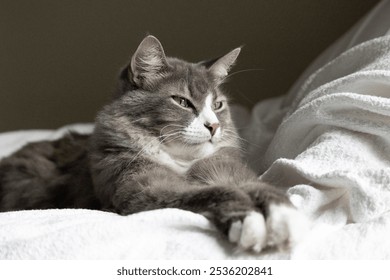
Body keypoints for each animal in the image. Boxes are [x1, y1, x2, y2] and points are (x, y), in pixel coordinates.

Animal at [0, 36, 308, 253]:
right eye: (182, 101)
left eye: (218, 105)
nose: (213, 126)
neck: (183, 162)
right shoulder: (143, 189)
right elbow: (213, 193)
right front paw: (250, 221)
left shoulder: (227, 170)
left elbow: (260, 187)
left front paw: (283, 218)